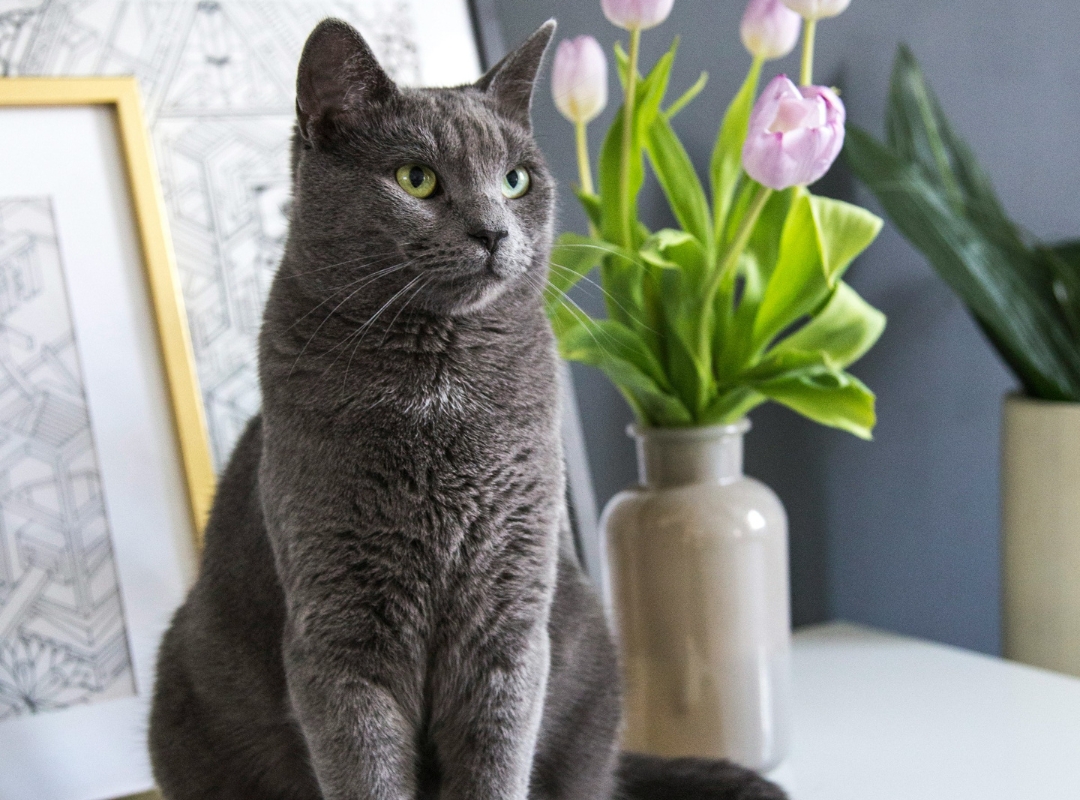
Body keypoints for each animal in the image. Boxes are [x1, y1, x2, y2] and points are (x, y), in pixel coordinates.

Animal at [145, 17, 786, 798]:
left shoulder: (509, 615)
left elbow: (496, 758)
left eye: (515, 180)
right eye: (416, 178)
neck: (440, 386)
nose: (493, 231)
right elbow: (366, 770)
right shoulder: (338, 633)